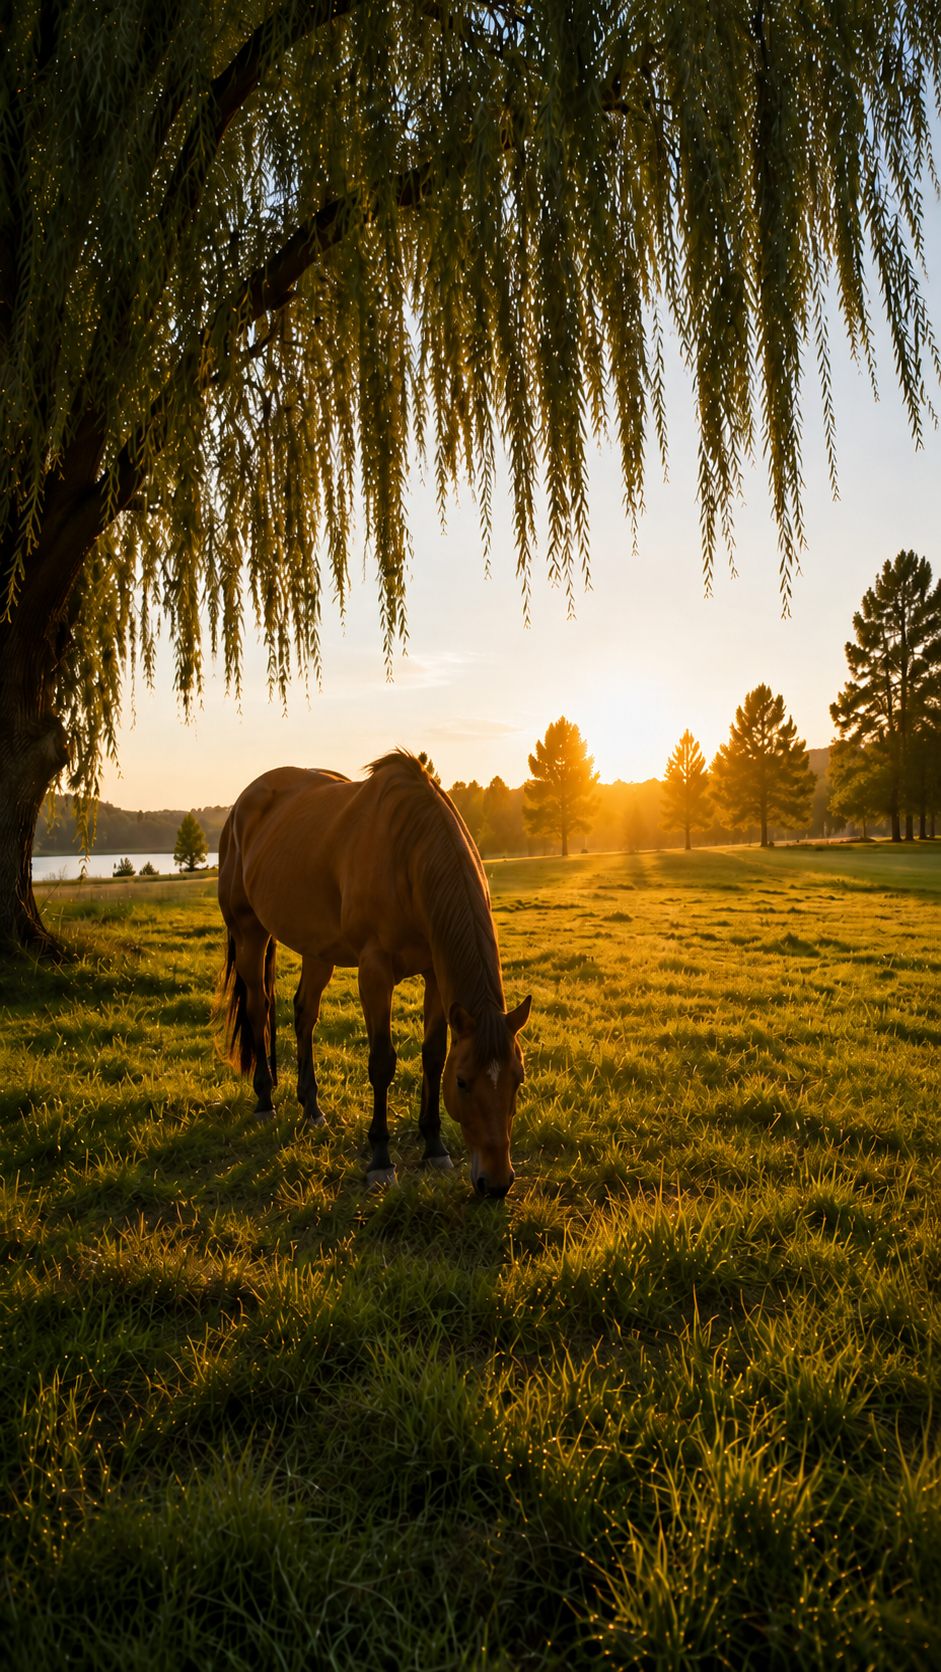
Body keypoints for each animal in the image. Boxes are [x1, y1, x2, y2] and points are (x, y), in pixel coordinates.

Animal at [216, 751, 531, 1196]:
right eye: (463, 1082)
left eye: (518, 1080)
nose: (497, 1183)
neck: (407, 852)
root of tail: (241, 806)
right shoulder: (375, 970)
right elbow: (382, 1061)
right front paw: (380, 1160)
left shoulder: (435, 975)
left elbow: (432, 1055)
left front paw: (434, 1147)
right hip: (249, 934)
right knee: (259, 1011)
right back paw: (265, 1101)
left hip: (317, 949)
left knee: (304, 1014)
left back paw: (311, 1108)